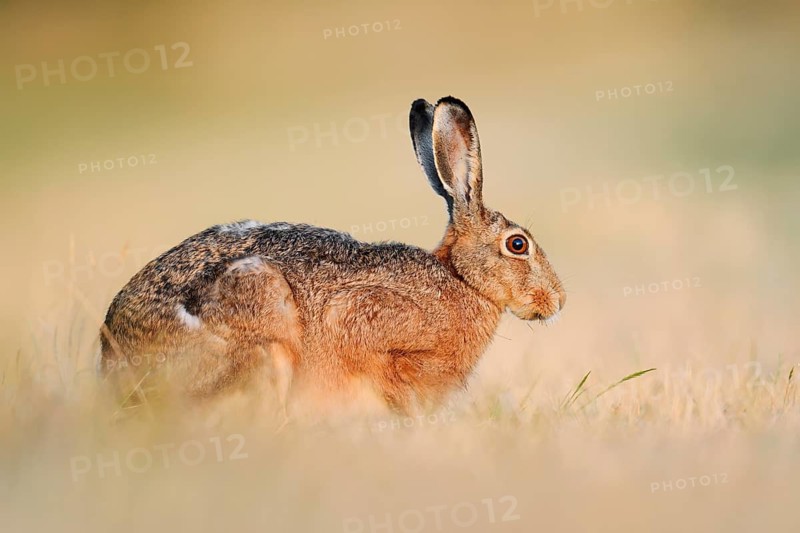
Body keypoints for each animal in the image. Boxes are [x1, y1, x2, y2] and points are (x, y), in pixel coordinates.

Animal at [98, 96, 565, 417]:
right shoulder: (368, 324)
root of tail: (113, 365)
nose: (559, 301)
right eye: (518, 244)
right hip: (265, 331)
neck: (463, 281)